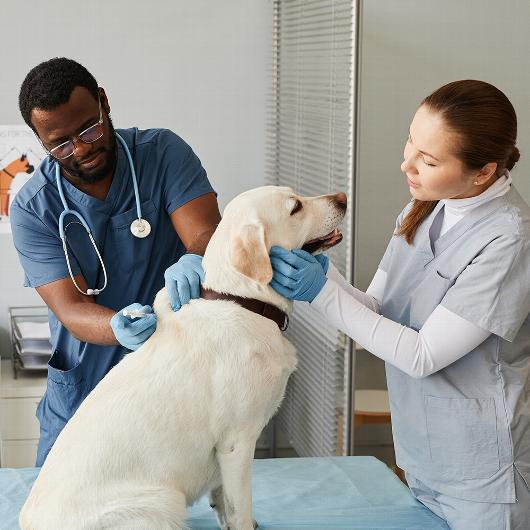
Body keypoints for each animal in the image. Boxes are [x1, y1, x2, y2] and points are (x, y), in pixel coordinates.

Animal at [18, 184, 344, 524]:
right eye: (295, 207)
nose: (343, 199)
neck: (242, 300)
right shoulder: (236, 443)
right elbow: (240, 509)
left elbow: (223, 500)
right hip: (165, 499)